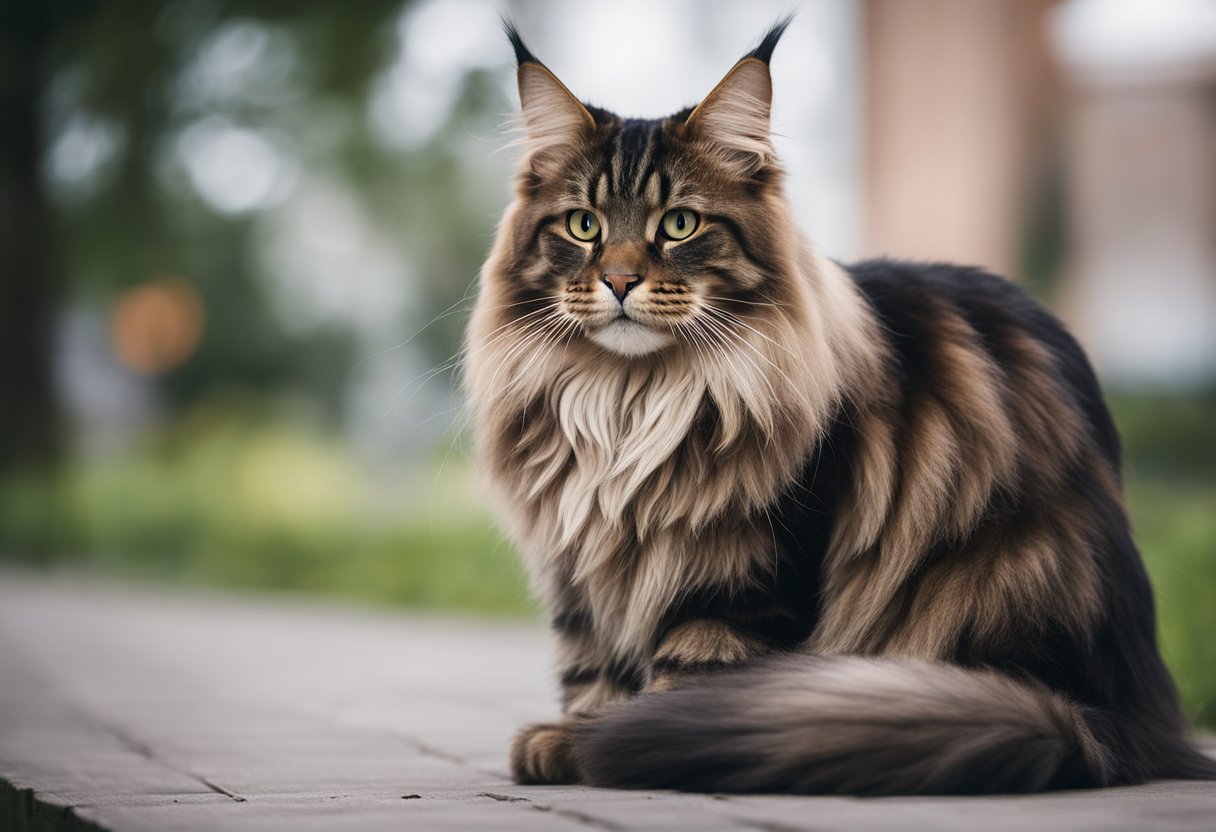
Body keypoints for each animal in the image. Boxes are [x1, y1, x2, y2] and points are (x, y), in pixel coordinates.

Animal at [464, 19, 1216, 793]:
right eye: (583, 226)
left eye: (678, 224)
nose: (617, 281)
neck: (628, 404)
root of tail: (1121, 723)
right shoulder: (581, 571)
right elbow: (590, 666)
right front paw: (573, 736)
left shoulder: (745, 570)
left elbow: (693, 670)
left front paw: (621, 741)